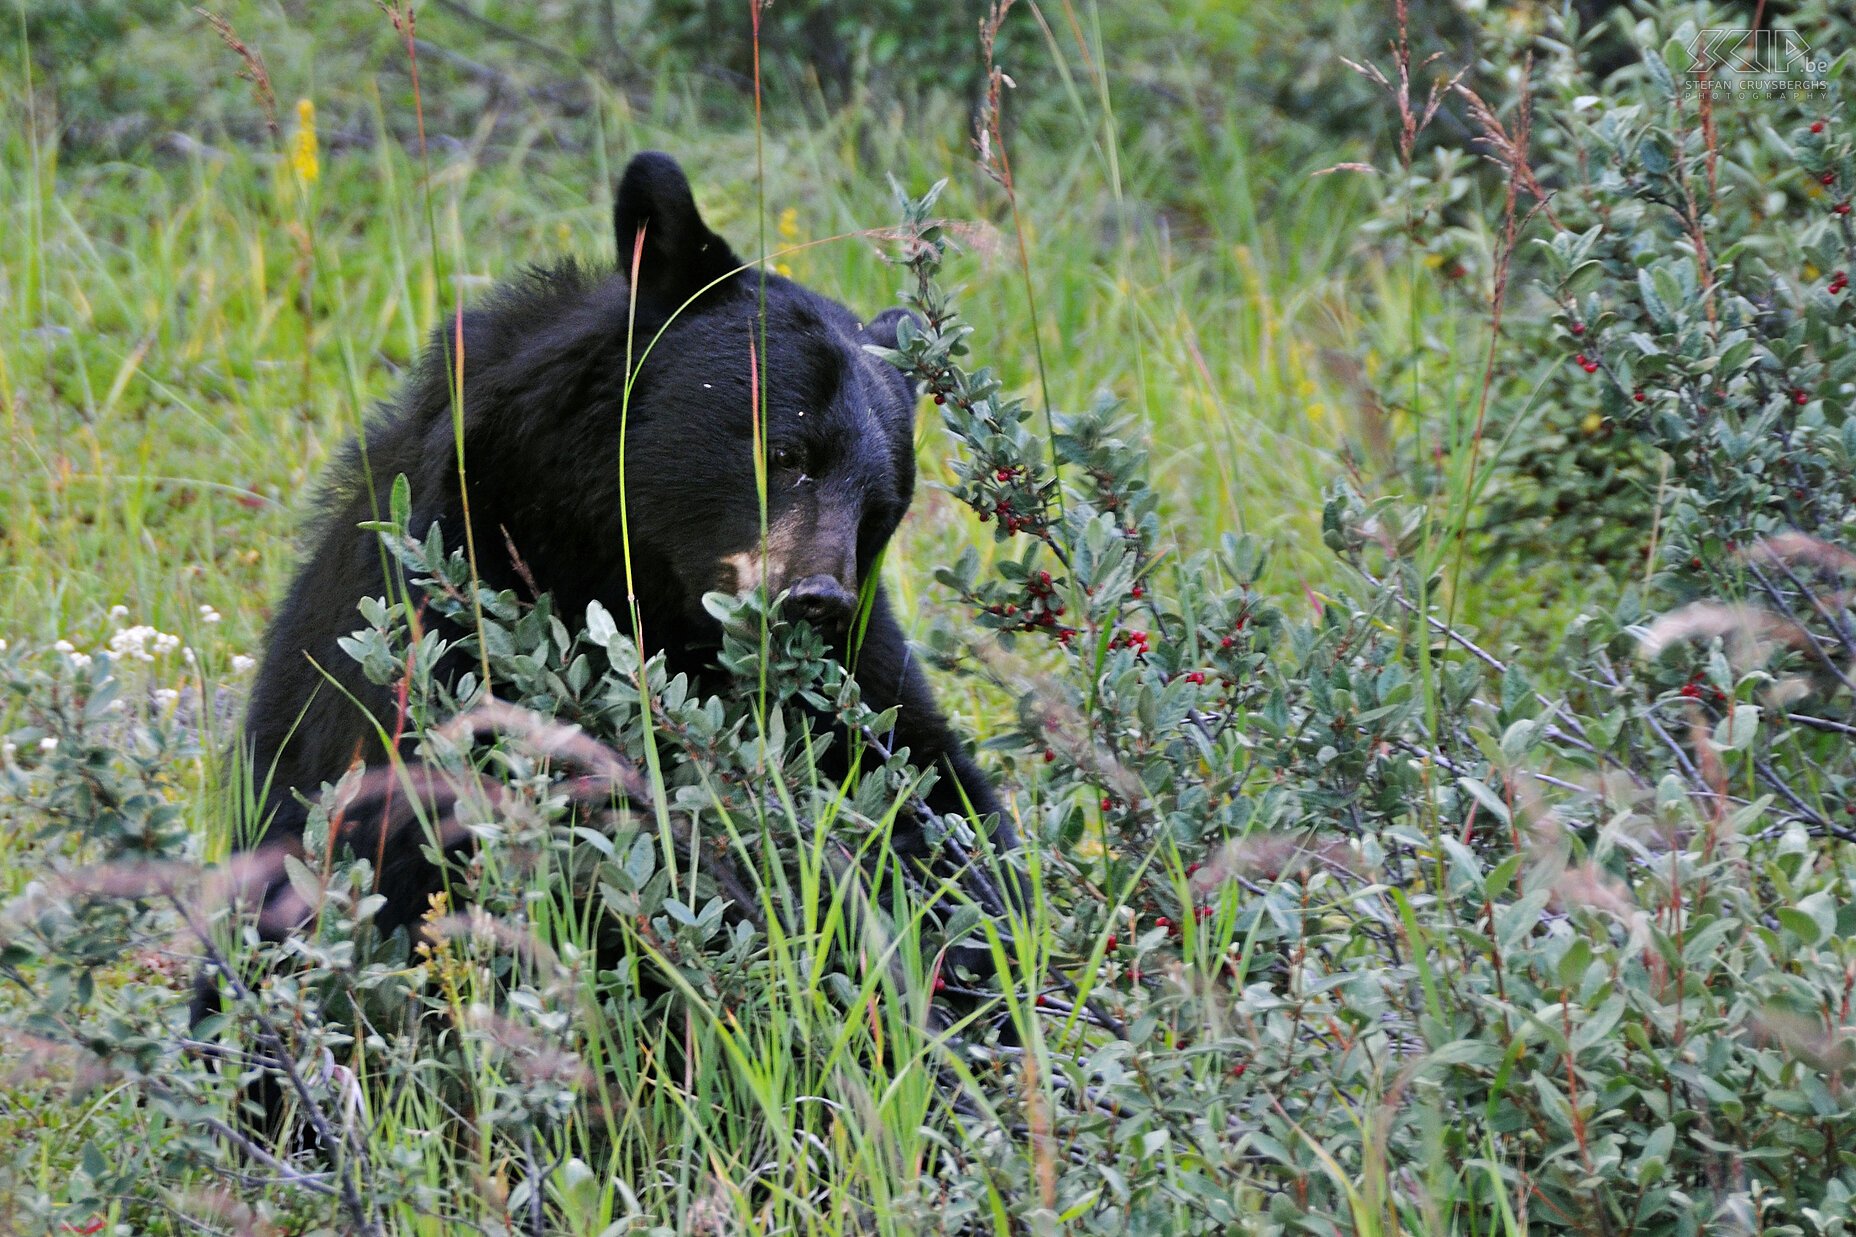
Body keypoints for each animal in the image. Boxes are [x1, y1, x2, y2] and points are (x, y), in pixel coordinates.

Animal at [232, 151, 1024, 943]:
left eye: (879, 510)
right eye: (788, 452)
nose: (815, 599)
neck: (632, 574)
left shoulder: (862, 667)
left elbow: (932, 791)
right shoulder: (452, 598)